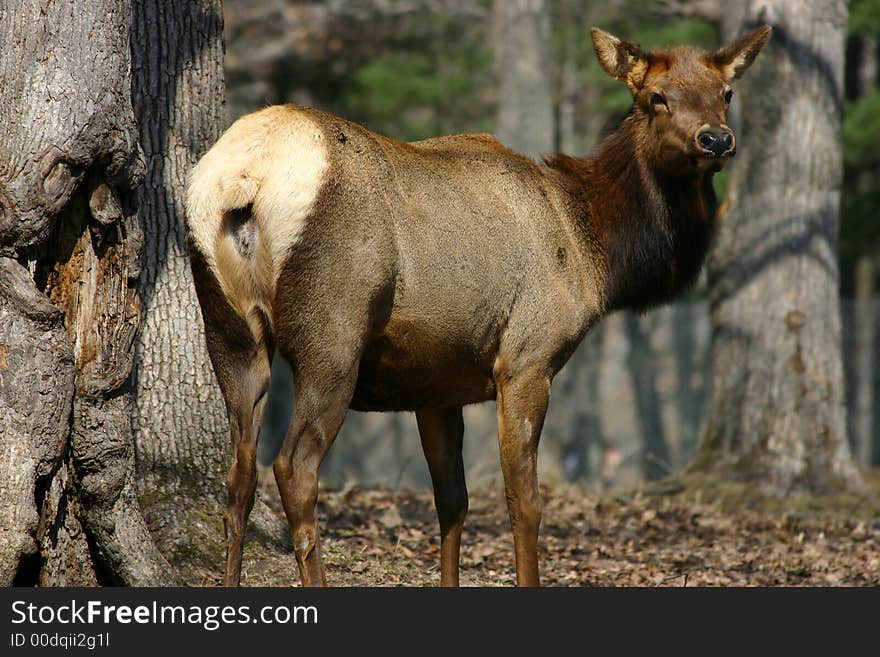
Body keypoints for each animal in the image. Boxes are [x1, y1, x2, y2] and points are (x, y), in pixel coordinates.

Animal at [186, 28, 768, 588]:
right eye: (656, 97)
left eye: (726, 93)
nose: (716, 139)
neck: (594, 248)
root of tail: (245, 180)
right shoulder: (527, 358)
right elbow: (524, 502)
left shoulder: (435, 384)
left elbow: (452, 502)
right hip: (332, 335)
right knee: (293, 466)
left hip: (229, 329)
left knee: (240, 474)